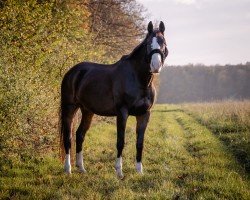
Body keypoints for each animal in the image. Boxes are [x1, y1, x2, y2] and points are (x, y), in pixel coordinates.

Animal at [60, 21, 168, 178]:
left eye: (163, 43)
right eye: (149, 43)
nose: (156, 66)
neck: (138, 79)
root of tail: (72, 72)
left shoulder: (144, 114)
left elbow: (140, 143)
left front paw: (139, 171)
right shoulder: (122, 113)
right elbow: (120, 141)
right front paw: (119, 172)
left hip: (87, 111)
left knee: (80, 134)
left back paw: (81, 168)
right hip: (69, 108)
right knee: (68, 138)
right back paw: (68, 170)